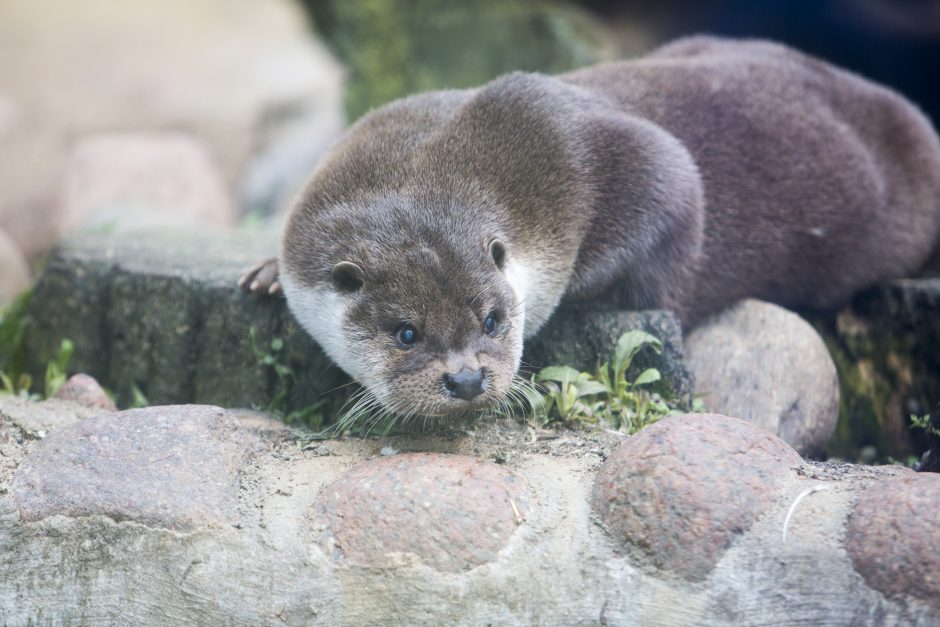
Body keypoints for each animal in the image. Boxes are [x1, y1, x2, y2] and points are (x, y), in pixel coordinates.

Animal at [241, 38, 940, 422]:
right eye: (405, 332)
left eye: (493, 319)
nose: (466, 380)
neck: (434, 155)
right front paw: (268, 272)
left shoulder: (603, 154)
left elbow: (673, 210)